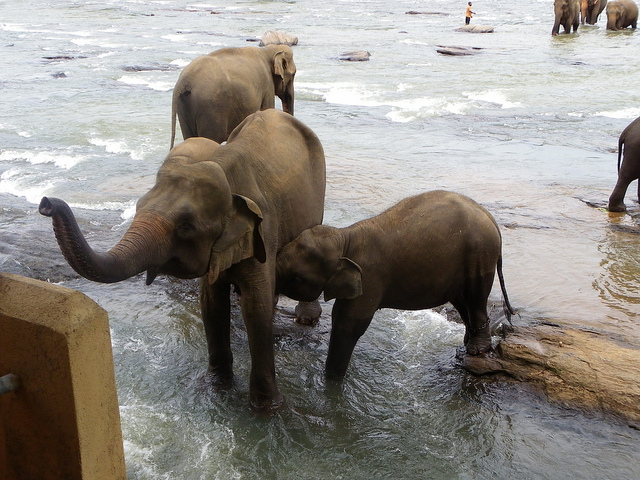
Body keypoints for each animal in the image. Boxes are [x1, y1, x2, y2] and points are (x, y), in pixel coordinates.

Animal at [40, 109, 326, 412]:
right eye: (138, 206)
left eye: (186, 227)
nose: (46, 203)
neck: (223, 168)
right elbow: (211, 304)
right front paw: (214, 387)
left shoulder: (263, 230)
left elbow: (255, 306)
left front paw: (268, 409)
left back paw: (306, 318)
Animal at [276, 190, 516, 379]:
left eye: (295, 278)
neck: (344, 237)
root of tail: (490, 217)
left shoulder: (369, 278)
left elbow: (349, 322)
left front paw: (332, 383)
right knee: (461, 300)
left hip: (480, 255)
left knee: (475, 298)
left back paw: (476, 350)